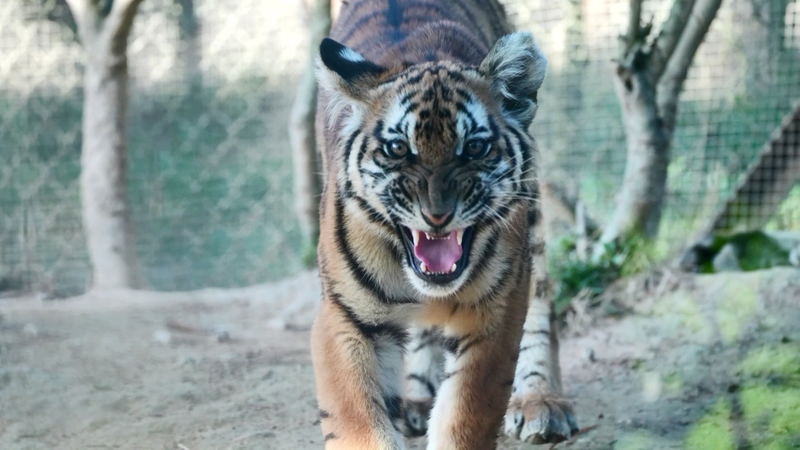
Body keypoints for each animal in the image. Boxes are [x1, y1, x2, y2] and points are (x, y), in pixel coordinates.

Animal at [310, 0, 579, 448]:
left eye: (475, 147)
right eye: (398, 148)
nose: (437, 215)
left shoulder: (494, 312)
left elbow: (465, 413)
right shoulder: (346, 318)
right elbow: (360, 420)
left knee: (542, 310)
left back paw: (541, 402)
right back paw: (417, 402)